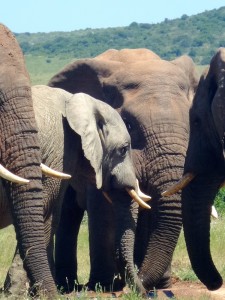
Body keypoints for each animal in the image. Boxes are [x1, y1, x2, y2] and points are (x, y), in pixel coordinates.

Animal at [3, 84, 149, 296]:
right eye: (123, 149)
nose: (146, 293)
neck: (78, 101)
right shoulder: (60, 151)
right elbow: (47, 215)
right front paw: (17, 294)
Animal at [48, 47, 200, 292]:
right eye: (128, 124)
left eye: (193, 123)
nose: (135, 279)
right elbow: (101, 205)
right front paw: (104, 284)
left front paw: (161, 284)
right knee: (69, 209)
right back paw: (66, 285)